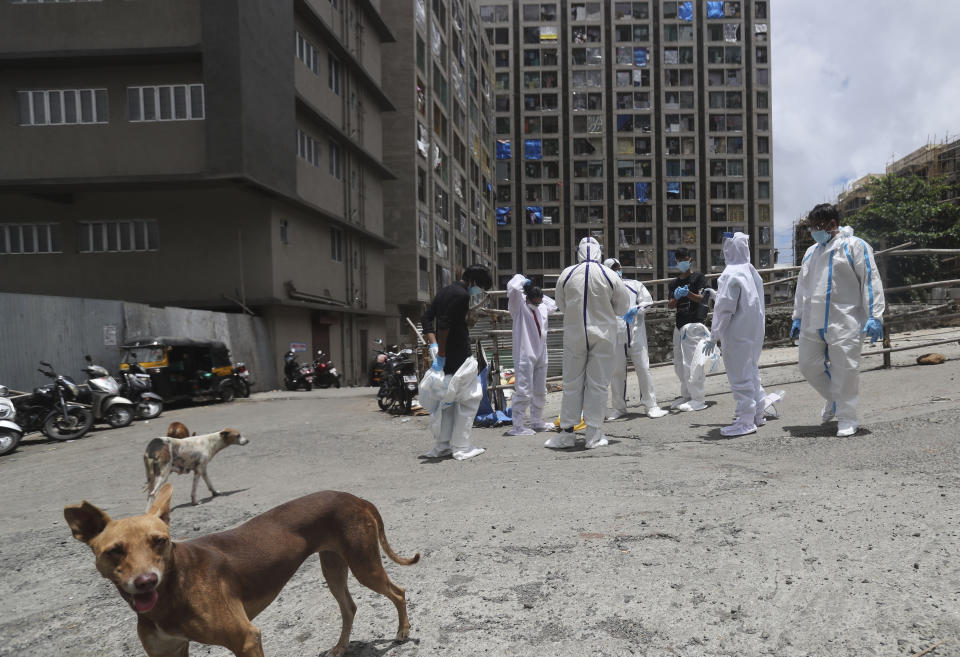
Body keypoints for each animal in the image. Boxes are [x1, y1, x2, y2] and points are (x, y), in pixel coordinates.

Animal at [63, 482, 416, 656]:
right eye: (114, 551)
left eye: (159, 541)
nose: (146, 582)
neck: (174, 588)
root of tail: (357, 499)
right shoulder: (166, 651)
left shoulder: (246, 638)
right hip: (333, 566)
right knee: (349, 607)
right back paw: (341, 647)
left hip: (363, 565)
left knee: (398, 591)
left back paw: (402, 632)